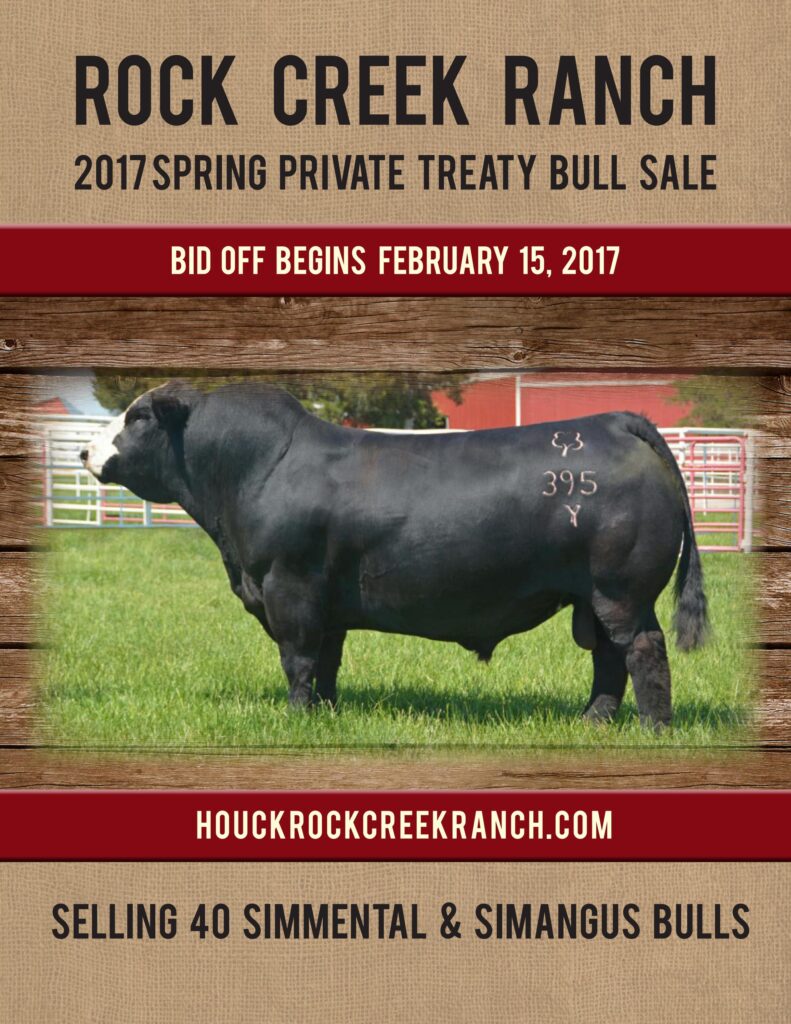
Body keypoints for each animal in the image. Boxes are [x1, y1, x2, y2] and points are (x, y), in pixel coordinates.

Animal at [81, 381, 709, 729]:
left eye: (138, 416)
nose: (85, 450)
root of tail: (614, 421)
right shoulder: (326, 604)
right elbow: (327, 662)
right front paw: (326, 714)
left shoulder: (289, 587)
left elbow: (298, 659)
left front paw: (295, 717)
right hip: (593, 597)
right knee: (607, 658)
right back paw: (593, 721)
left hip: (620, 591)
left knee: (642, 652)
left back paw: (654, 728)